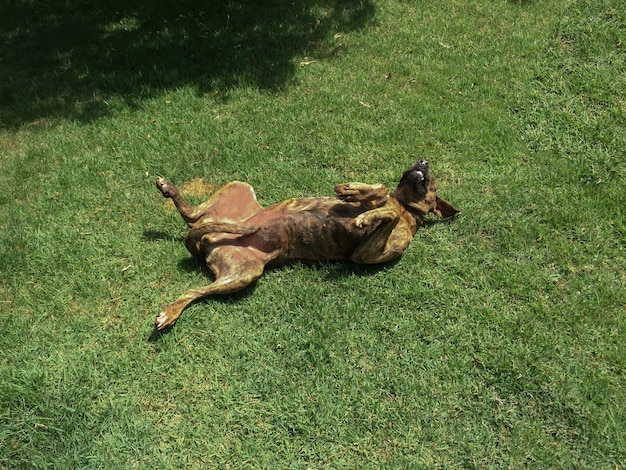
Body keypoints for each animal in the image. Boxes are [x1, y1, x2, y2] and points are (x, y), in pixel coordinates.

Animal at [155, 160, 458, 328]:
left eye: (432, 180)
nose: (423, 161)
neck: (407, 207)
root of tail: (206, 239)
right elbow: (381, 190)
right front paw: (353, 190)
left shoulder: (365, 253)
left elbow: (386, 212)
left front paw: (366, 211)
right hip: (238, 187)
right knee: (192, 214)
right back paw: (168, 188)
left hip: (244, 274)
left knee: (193, 288)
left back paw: (170, 312)